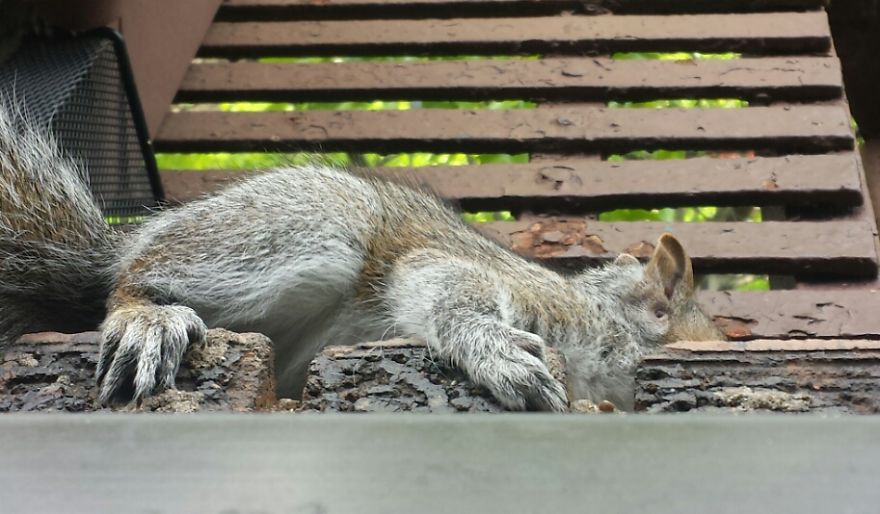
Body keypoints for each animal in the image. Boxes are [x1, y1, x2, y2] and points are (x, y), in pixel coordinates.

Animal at [0, 105, 723, 411]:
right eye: (712, 330)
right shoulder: (526, 296)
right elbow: (447, 290)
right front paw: (496, 351)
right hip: (313, 225)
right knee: (129, 282)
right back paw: (146, 316)